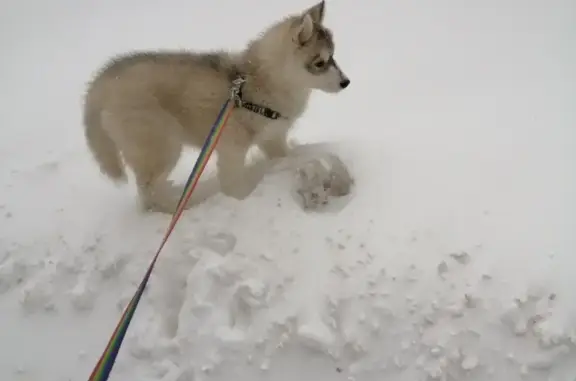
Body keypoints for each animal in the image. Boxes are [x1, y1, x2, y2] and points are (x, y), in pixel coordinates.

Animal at [82, 0, 348, 214]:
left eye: (334, 56)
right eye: (320, 62)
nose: (346, 82)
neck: (261, 82)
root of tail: (105, 78)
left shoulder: (273, 138)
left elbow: (287, 156)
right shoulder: (232, 148)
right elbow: (234, 185)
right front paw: (244, 195)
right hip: (162, 145)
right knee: (149, 191)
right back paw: (183, 204)